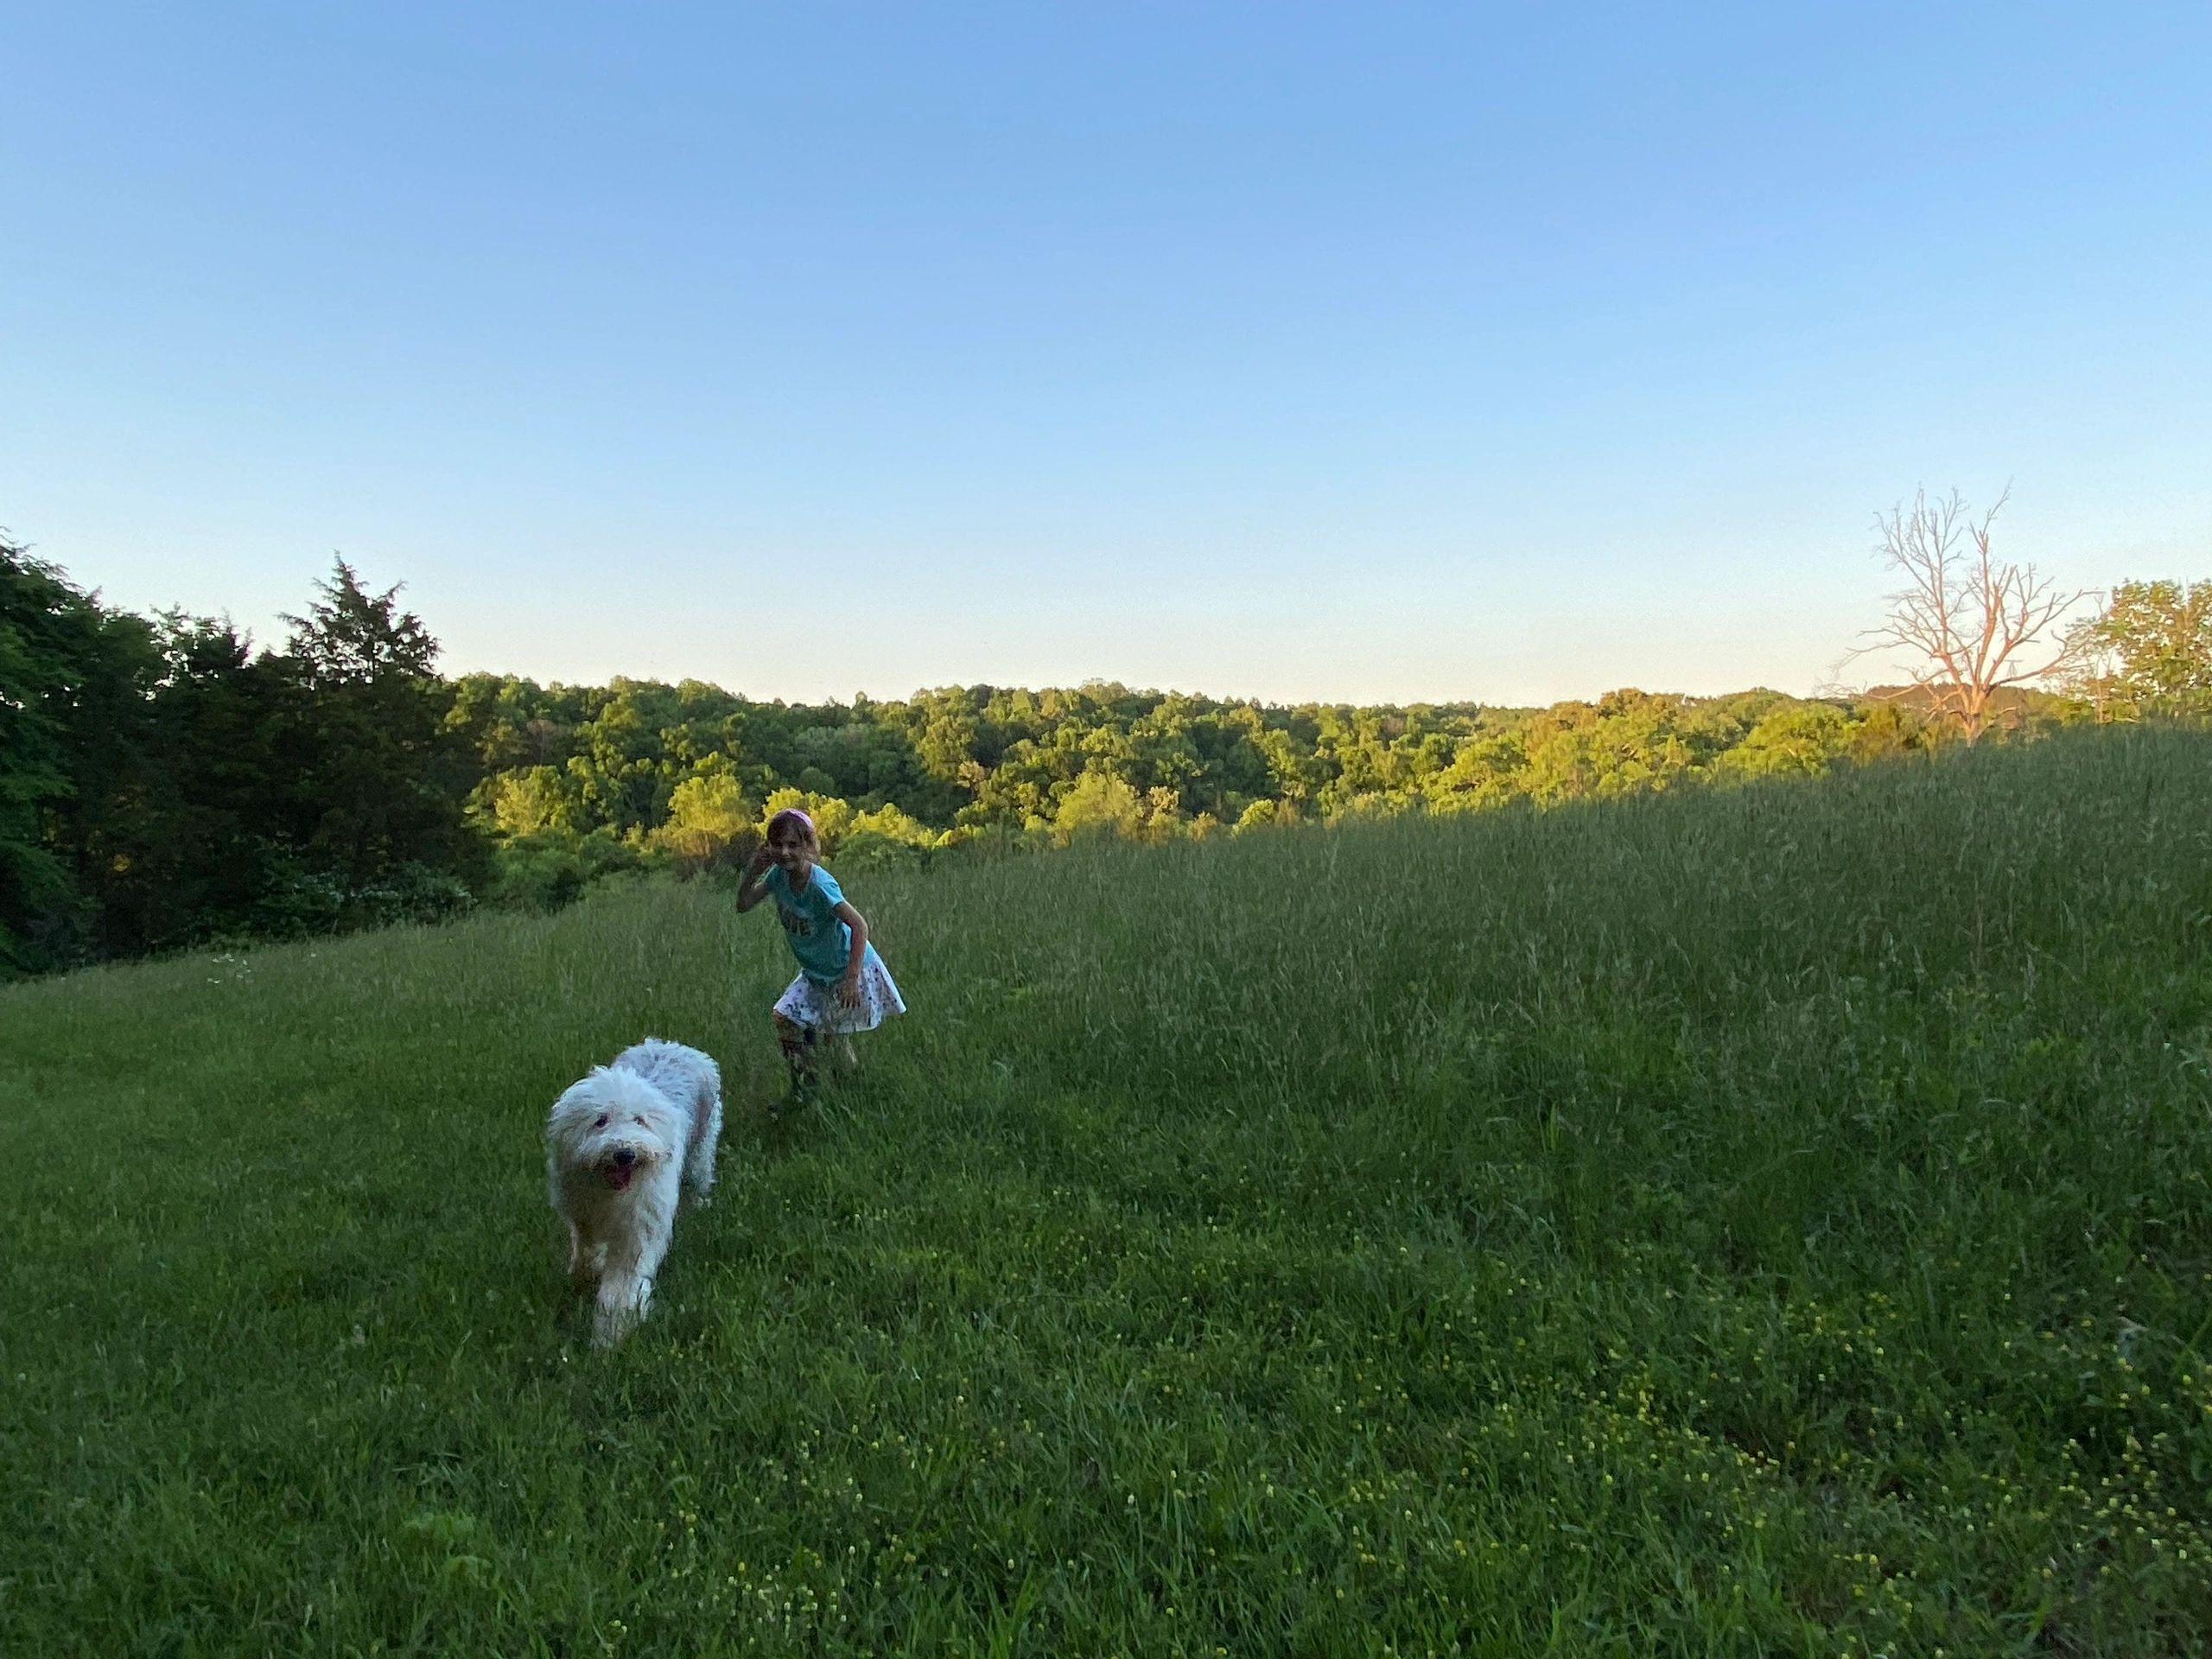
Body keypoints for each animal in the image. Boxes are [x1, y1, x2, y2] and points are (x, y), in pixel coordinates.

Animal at [546, 1039, 725, 1353]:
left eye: (640, 1120)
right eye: (600, 1120)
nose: (625, 1154)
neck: (611, 1192)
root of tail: (671, 1045)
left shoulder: (638, 1229)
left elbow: (621, 1286)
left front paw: (609, 1337)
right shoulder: (582, 1213)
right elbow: (587, 1248)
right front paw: (587, 1272)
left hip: (702, 1148)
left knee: (700, 1176)